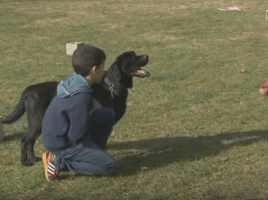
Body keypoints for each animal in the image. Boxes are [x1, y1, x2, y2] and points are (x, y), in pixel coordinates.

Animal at [0, 50, 151, 166]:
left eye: (135, 54)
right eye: (131, 57)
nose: (147, 56)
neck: (112, 86)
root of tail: (28, 90)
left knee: (31, 142)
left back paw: (34, 158)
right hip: (36, 122)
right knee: (25, 140)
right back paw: (25, 161)